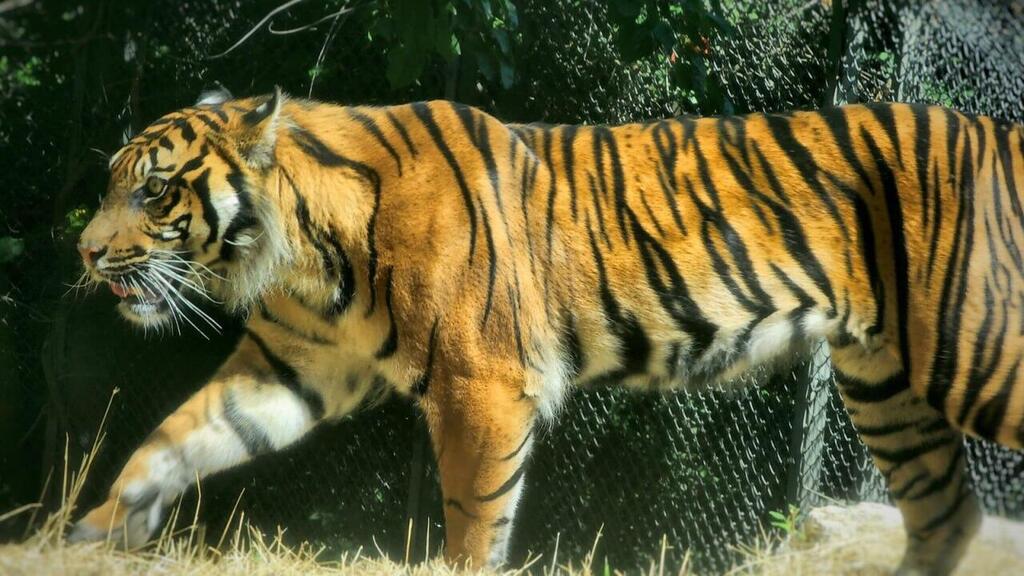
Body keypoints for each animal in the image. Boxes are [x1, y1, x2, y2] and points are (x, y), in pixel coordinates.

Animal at [68, 86, 1024, 575]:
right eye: (115, 182)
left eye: (152, 190)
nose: (84, 250)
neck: (299, 249)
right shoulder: (287, 365)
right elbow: (179, 436)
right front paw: (96, 529)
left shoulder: (481, 385)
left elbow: (474, 521)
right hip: (885, 382)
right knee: (946, 516)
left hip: (978, 352)